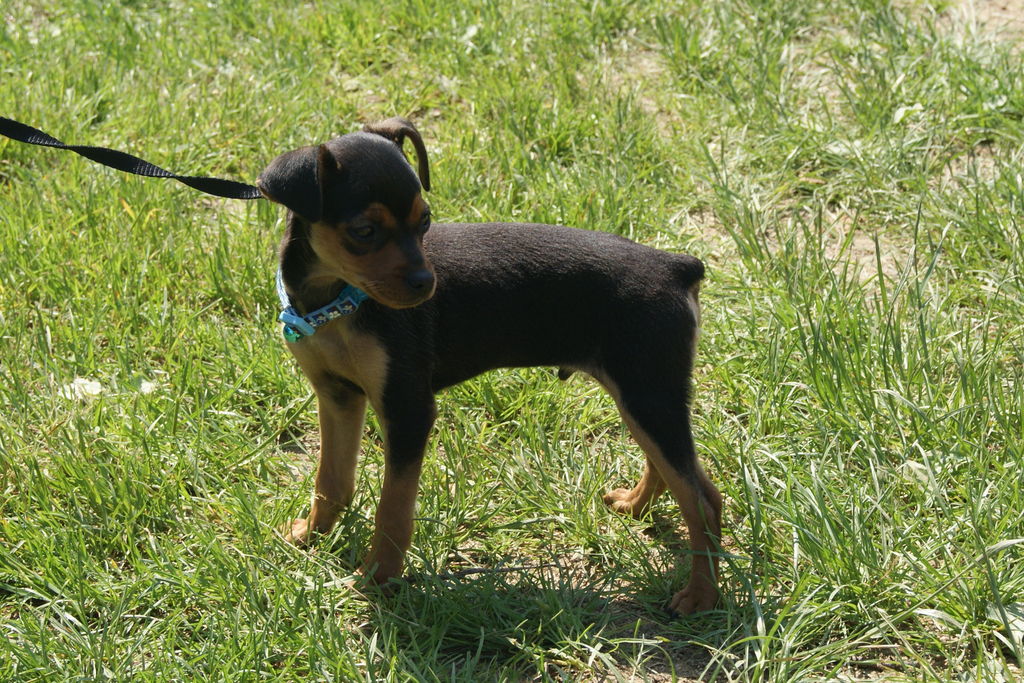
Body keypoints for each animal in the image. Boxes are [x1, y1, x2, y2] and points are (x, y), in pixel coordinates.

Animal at [256, 118, 723, 614]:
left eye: (425, 221)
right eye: (364, 231)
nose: (426, 284)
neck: (336, 300)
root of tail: (677, 266)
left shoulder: (407, 410)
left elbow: (393, 509)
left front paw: (377, 580)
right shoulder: (337, 395)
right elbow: (332, 481)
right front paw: (309, 535)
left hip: (649, 392)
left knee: (703, 500)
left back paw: (700, 596)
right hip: (645, 395)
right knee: (677, 474)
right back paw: (635, 507)